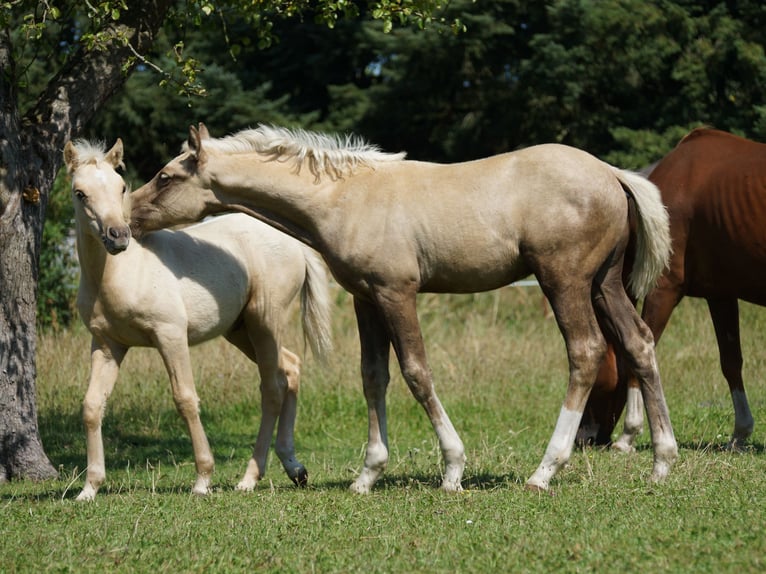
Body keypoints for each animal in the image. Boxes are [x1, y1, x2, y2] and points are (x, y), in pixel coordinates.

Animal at [63, 138, 332, 500]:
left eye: (121, 187)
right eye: (80, 193)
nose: (118, 236)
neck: (121, 273)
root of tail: (295, 245)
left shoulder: (170, 335)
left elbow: (186, 399)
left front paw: (203, 479)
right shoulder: (107, 345)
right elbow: (92, 405)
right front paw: (89, 488)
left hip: (265, 321)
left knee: (273, 386)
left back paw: (250, 477)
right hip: (240, 330)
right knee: (290, 367)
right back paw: (294, 468)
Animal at [130, 126, 680, 496]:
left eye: (165, 176)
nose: (126, 219)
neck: (345, 195)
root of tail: (611, 173)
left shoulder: (397, 292)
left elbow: (417, 372)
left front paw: (453, 469)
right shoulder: (366, 297)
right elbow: (374, 376)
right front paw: (368, 474)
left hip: (564, 282)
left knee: (585, 352)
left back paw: (545, 470)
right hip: (605, 284)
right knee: (639, 342)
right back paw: (662, 460)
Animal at [584, 128, 766, 452]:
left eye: (596, 379)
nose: (583, 437)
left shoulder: (662, 290)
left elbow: (637, 354)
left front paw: (628, 435)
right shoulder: (720, 294)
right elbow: (731, 361)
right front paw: (740, 434)